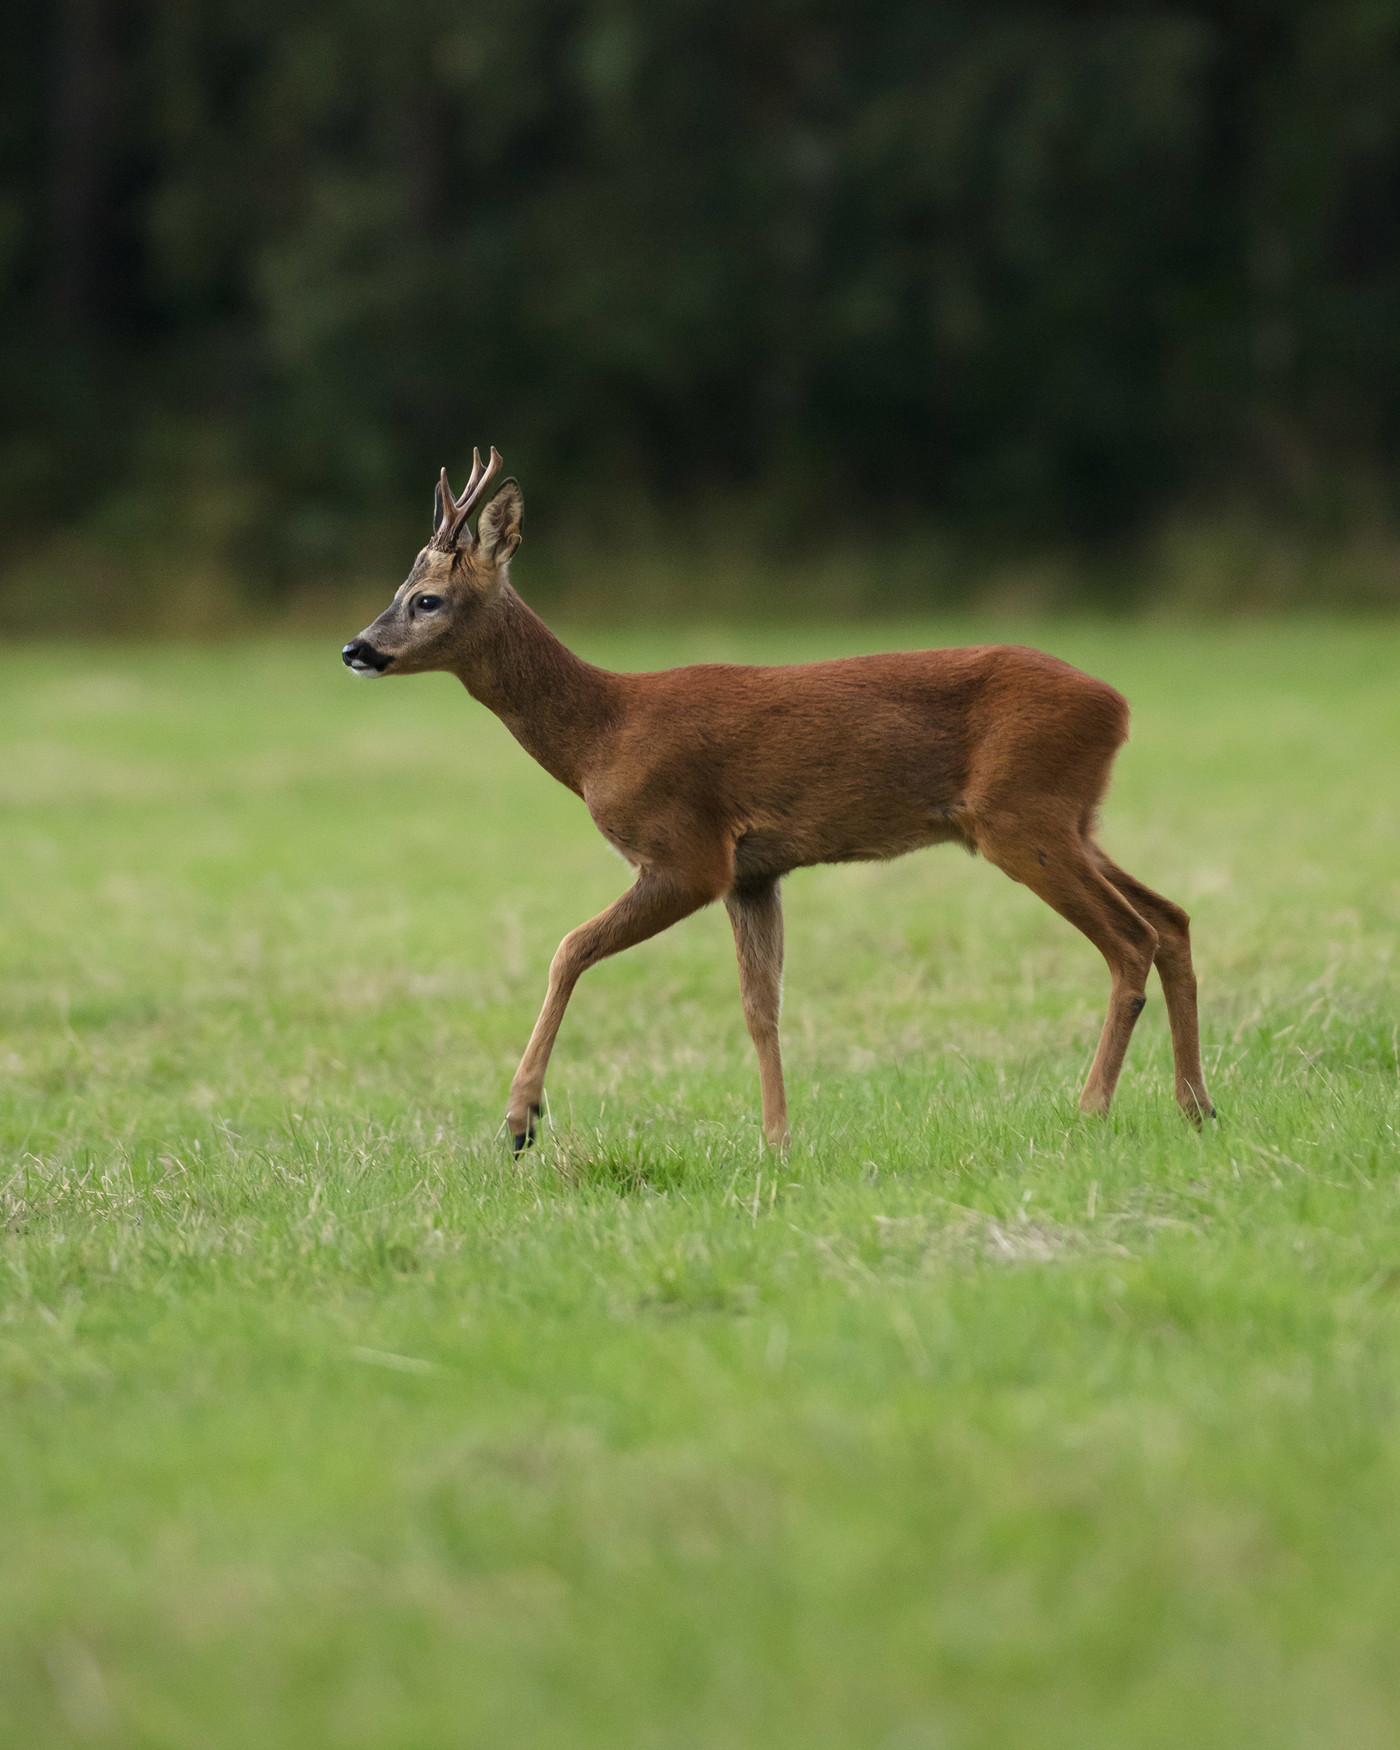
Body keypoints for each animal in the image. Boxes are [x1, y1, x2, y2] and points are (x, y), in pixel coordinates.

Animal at [341, 444, 1211, 1155]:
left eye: (427, 599)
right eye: (399, 588)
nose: (357, 648)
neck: (600, 735)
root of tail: (1118, 705)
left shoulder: (688, 853)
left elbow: (569, 948)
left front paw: (520, 1119)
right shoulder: (754, 873)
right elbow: (762, 1007)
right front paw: (777, 1140)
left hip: (1020, 816)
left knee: (1130, 938)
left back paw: (1093, 1108)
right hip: (1071, 818)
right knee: (1171, 918)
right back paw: (1196, 1105)